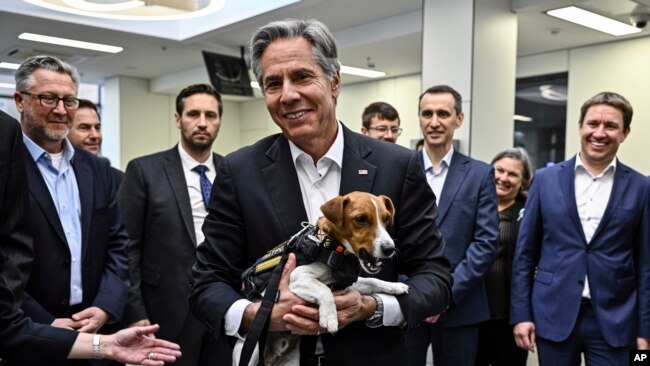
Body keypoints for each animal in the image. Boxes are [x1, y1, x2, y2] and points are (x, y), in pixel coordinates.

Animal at [234, 192, 404, 366]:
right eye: (361, 219)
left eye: (386, 219)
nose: (390, 249)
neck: (332, 246)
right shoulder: (298, 277)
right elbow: (324, 291)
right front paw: (330, 318)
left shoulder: (346, 283)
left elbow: (372, 281)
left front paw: (395, 286)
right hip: (249, 352)